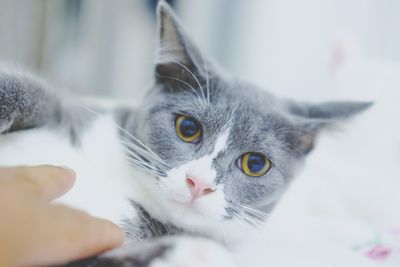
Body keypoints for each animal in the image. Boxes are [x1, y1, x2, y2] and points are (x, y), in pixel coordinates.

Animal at [0, 2, 372, 267]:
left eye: (255, 164)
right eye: (188, 129)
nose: (199, 182)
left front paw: (189, 252)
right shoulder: (74, 113)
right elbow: (31, 90)